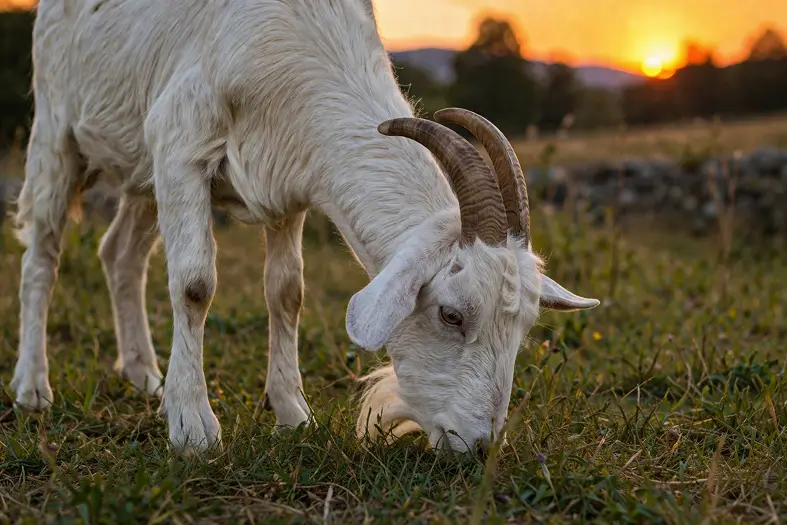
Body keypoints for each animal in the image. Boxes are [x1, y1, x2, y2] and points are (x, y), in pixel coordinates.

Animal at [11, 0, 599, 455]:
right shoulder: (181, 143)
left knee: (121, 253)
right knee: (43, 253)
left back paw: (143, 374)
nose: (480, 446)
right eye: (451, 315)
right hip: (58, 130)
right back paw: (33, 387)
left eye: (524, 328)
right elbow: (195, 284)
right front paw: (193, 427)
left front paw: (293, 413)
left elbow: (286, 291)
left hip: (141, 167)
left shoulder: (285, 181)